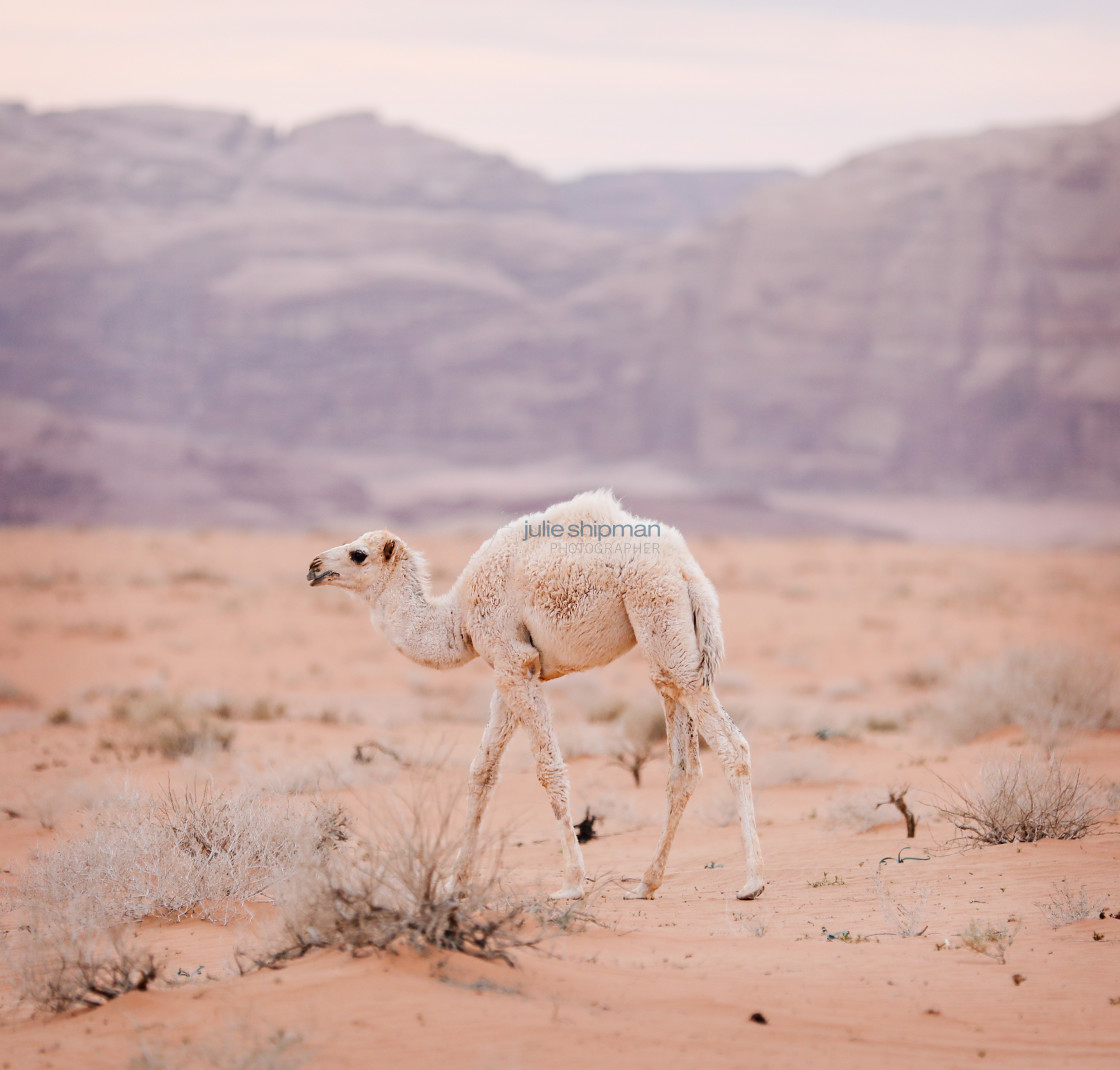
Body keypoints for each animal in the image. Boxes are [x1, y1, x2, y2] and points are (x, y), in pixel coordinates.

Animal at [304, 492, 761, 905]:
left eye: (358, 554)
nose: (314, 567)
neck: (458, 620)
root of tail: (688, 571)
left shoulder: (512, 659)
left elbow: (548, 769)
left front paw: (572, 884)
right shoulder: (510, 671)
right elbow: (482, 772)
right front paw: (455, 885)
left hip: (659, 615)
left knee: (731, 745)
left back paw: (751, 883)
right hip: (671, 641)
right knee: (683, 762)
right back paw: (646, 884)